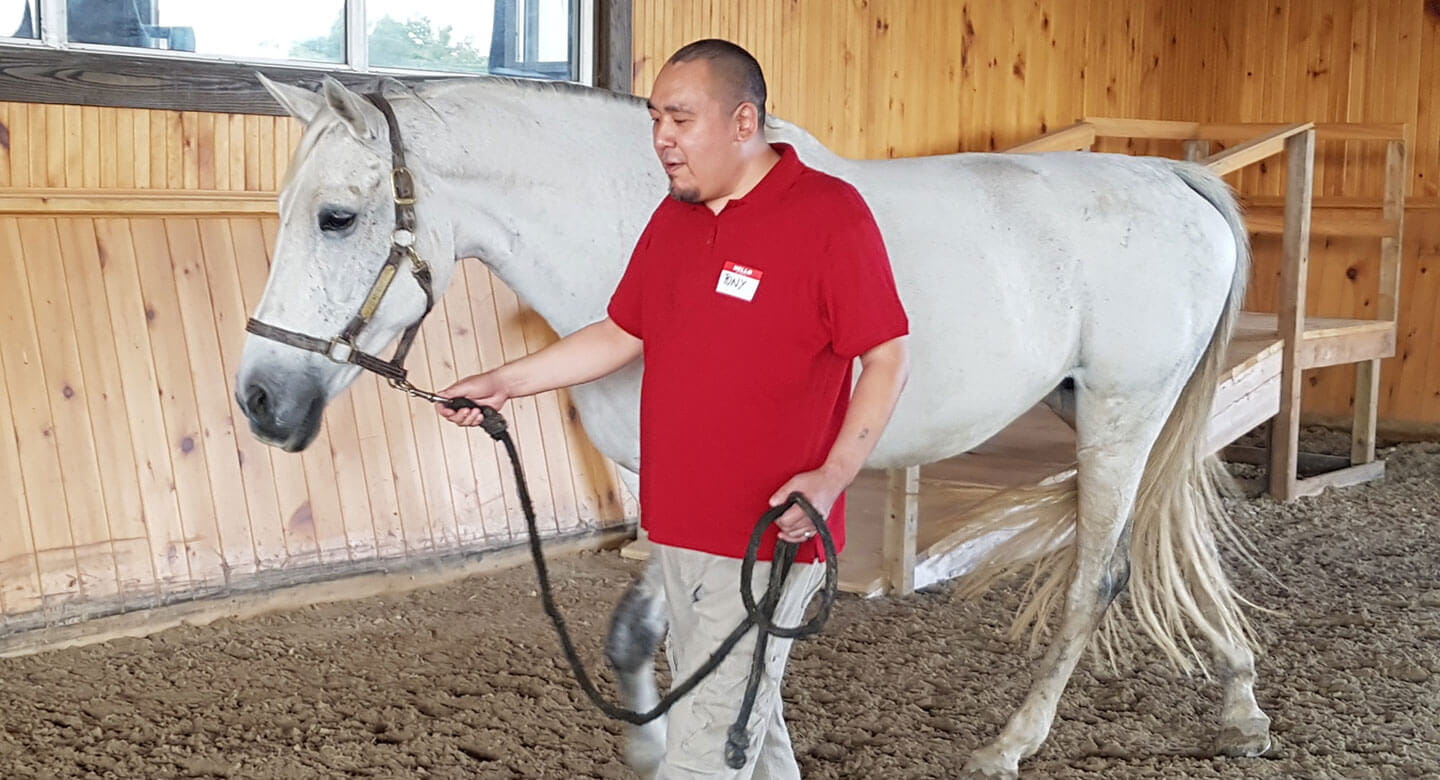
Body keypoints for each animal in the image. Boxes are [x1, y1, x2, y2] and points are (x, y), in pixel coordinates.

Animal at [236, 74, 1272, 780]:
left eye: (337, 218)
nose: (258, 400)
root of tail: (1173, 180)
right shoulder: (664, 482)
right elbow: (648, 632)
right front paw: (660, 746)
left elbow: (741, 641)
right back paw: (1239, 694)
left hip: (1122, 415)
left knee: (1101, 575)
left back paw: (1012, 743)